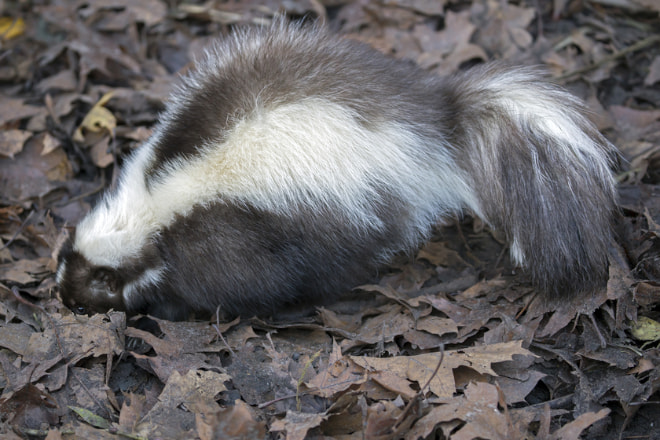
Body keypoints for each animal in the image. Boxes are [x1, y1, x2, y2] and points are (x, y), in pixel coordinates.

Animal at [55, 18, 620, 320]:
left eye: (91, 289)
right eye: (63, 266)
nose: (62, 300)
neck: (151, 205)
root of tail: (432, 122)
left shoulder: (226, 235)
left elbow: (238, 284)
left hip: (351, 206)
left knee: (345, 260)